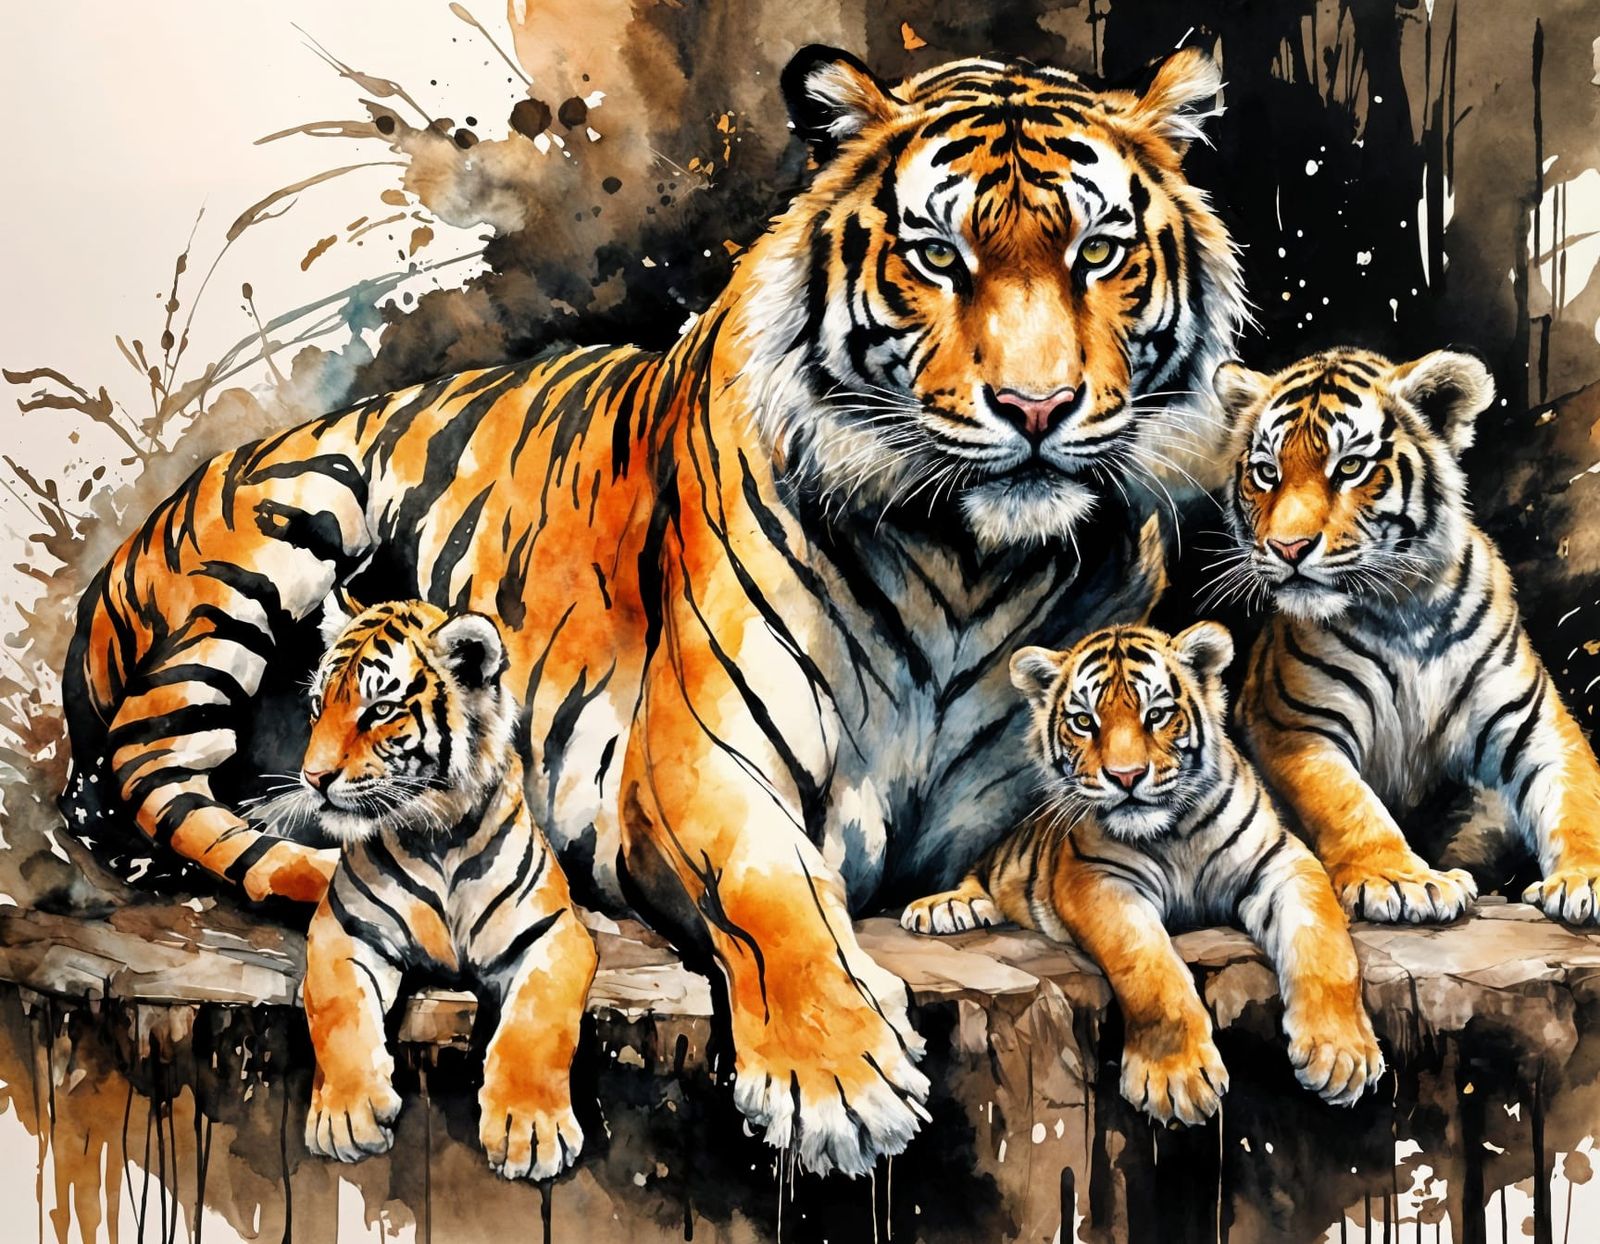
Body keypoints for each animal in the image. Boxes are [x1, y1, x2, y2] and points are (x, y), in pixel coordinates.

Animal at [284, 595, 596, 1180]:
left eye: (380, 710)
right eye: (317, 705)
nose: (313, 778)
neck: (438, 836)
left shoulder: (555, 932)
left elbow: (540, 1017)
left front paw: (530, 1129)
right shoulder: (344, 927)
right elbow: (337, 1010)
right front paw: (347, 1117)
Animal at [902, 623, 1383, 1124]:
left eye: (1157, 715)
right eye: (1085, 721)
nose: (1126, 776)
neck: (1176, 832)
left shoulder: (1282, 861)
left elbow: (1326, 946)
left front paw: (1341, 1055)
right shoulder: (1097, 878)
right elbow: (1150, 968)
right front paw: (1176, 1080)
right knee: (976, 876)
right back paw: (946, 907)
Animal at [1212, 346, 1600, 926]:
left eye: (1350, 467)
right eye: (1266, 472)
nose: (1287, 547)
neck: (1404, 614)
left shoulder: (1535, 724)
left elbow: (1578, 798)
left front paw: (1587, 879)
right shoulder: (1297, 723)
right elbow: (1350, 804)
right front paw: (1401, 881)